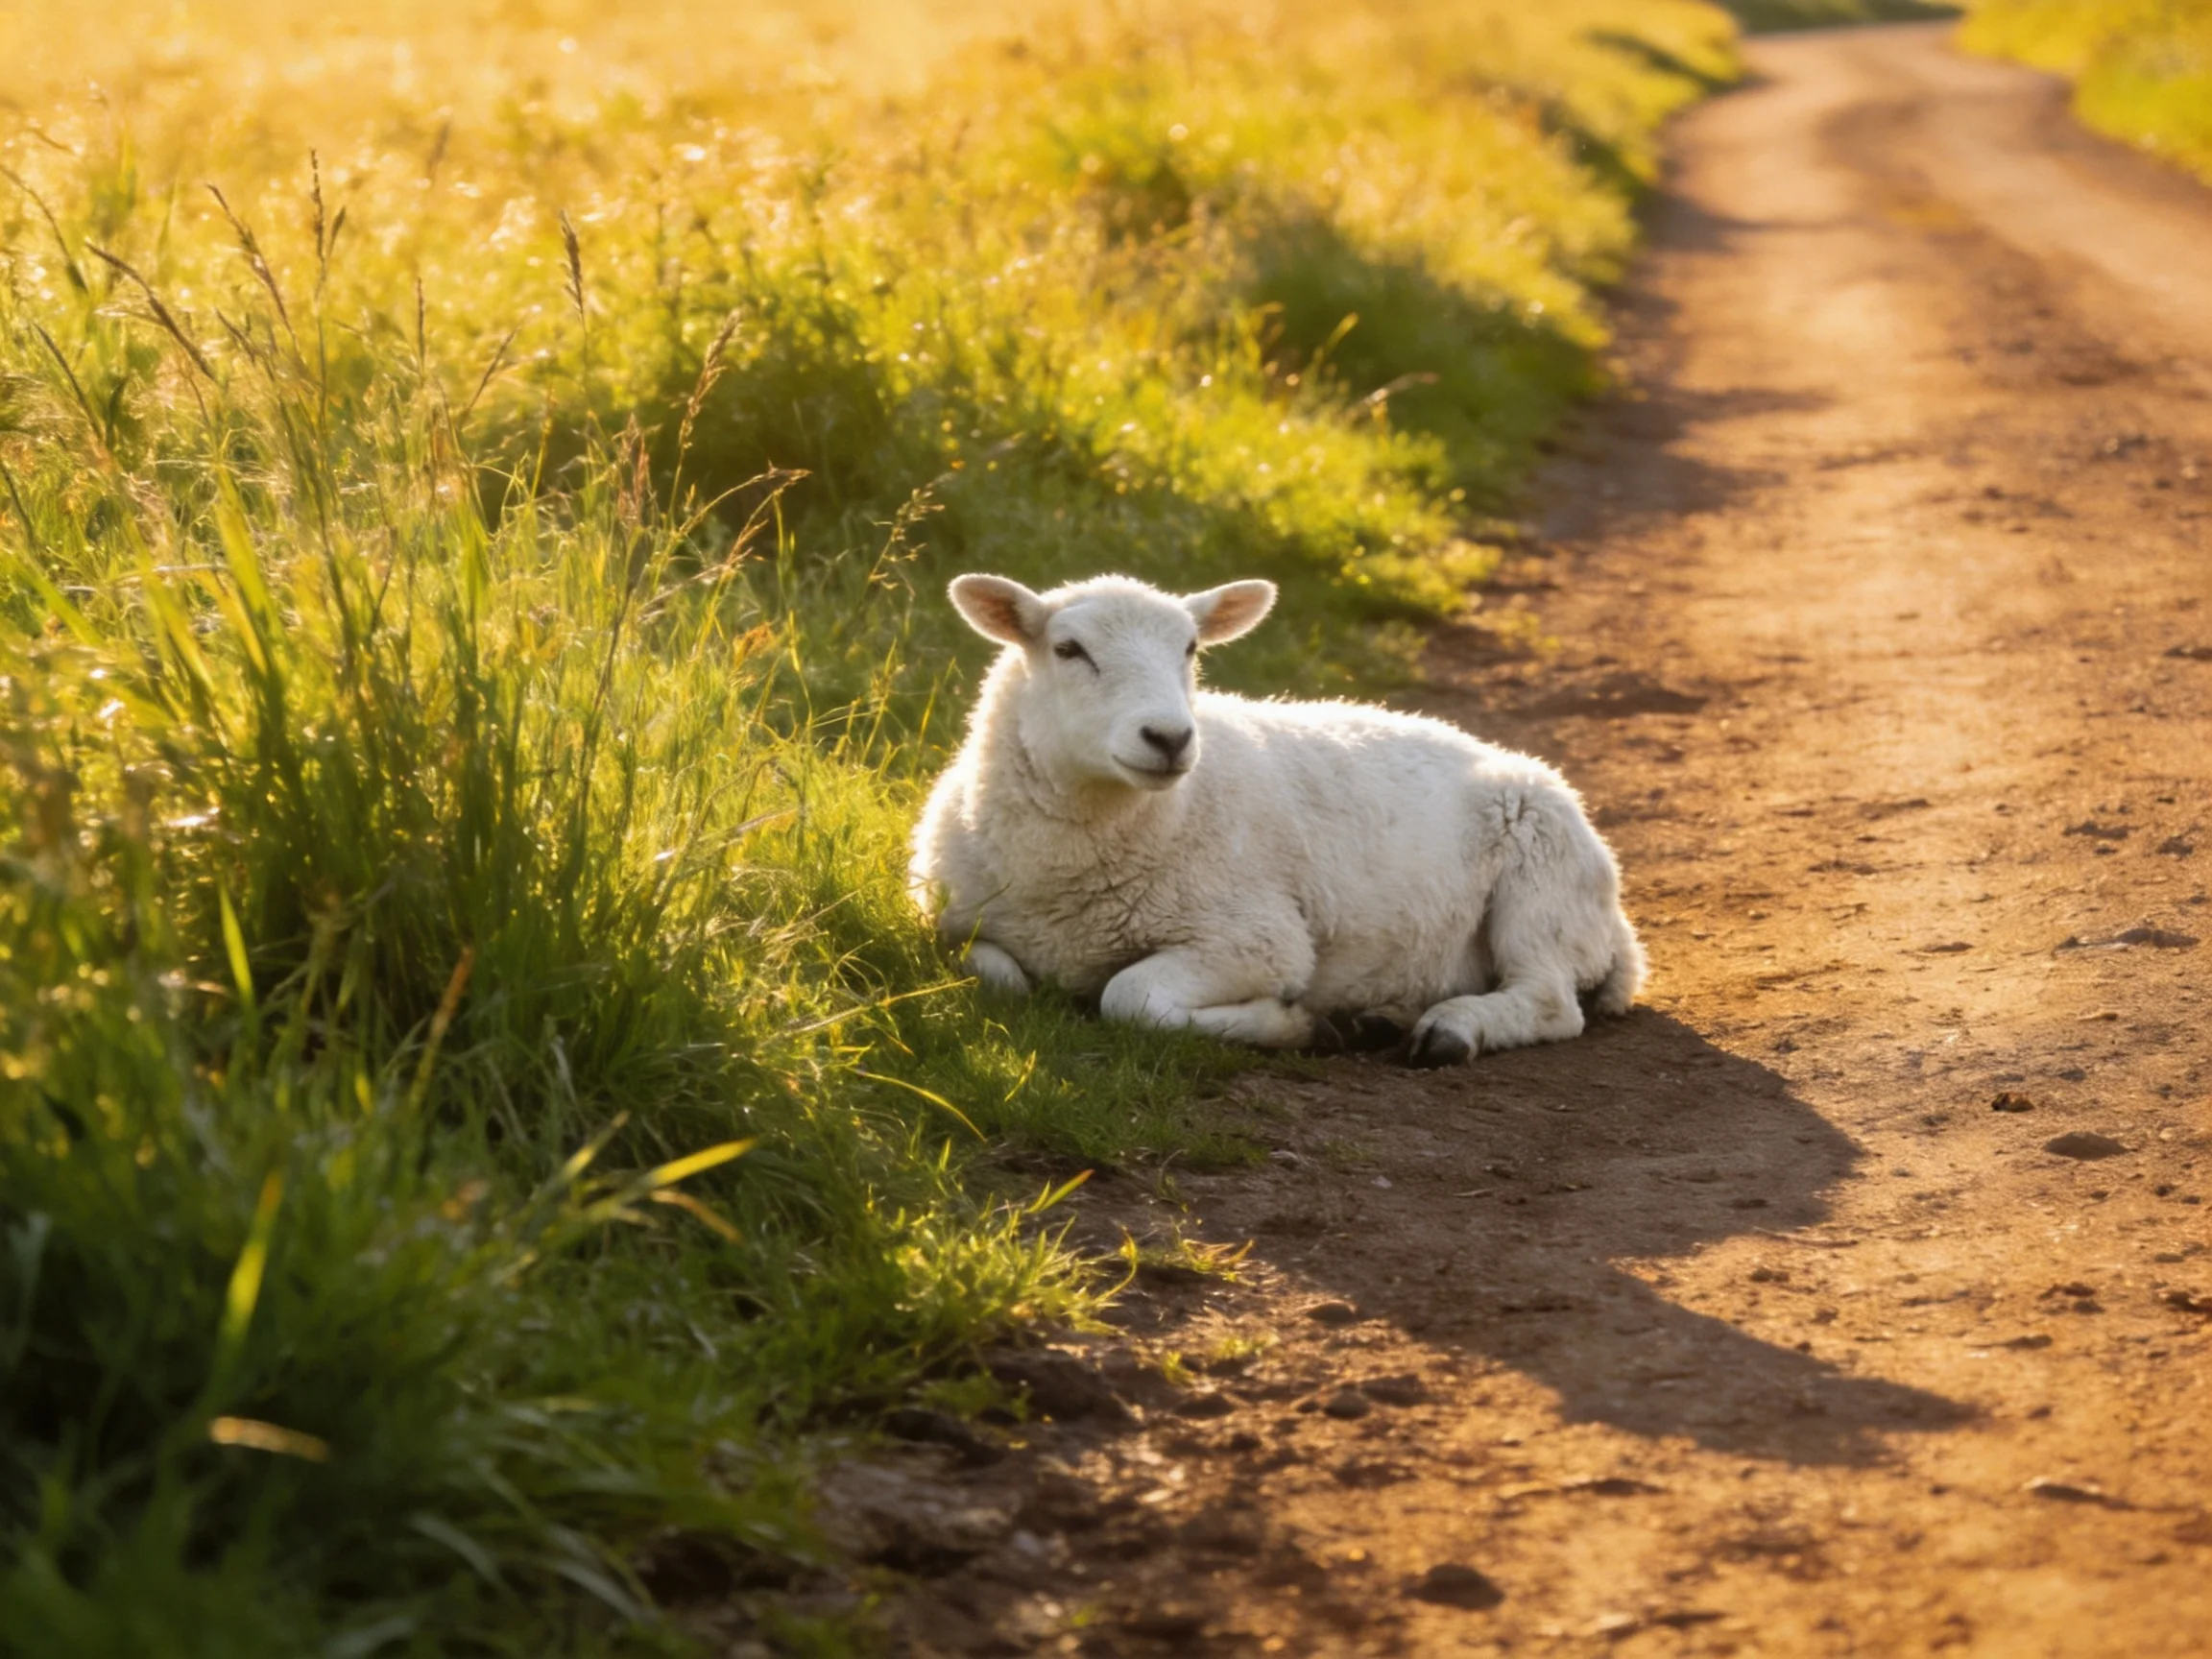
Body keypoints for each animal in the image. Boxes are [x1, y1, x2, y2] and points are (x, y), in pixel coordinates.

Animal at [907, 572, 1645, 1065]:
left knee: (1550, 1000)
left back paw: (1451, 1029)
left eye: (1191, 649)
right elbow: (996, 977)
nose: (1169, 738)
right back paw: (1386, 1015)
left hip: (1543, 875)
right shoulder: (950, 925)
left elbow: (1131, 997)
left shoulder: (1257, 939)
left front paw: (1298, 1025)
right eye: (1068, 650)